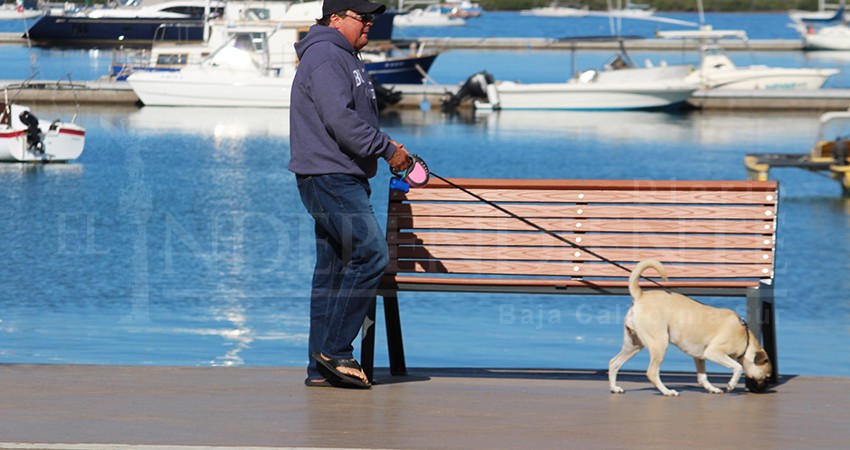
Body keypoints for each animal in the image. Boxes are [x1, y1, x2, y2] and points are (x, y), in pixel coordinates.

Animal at [608, 258, 768, 396]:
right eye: (766, 376)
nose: (763, 391)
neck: (746, 338)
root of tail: (640, 295)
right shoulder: (714, 353)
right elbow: (738, 367)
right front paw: (731, 384)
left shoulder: (700, 357)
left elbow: (702, 377)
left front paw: (712, 388)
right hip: (659, 343)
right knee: (652, 372)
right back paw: (667, 391)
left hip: (633, 344)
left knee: (614, 363)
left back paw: (614, 388)